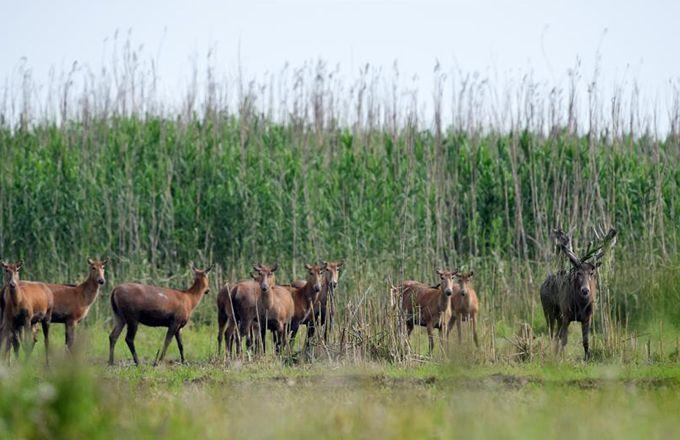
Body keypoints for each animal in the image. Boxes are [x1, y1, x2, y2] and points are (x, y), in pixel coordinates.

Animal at [540, 229, 620, 360]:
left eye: (592, 273)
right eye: (578, 273)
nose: (585, 290)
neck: (580, 306)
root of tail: (543, 283)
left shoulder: (588, 316)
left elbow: (586, 341)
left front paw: (587, 358)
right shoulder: (566, 314)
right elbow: (564, 340)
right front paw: (562, 358)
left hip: (559, 316)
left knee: (556, 335)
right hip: (548, 310)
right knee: (551, 333)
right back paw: (552, 353)